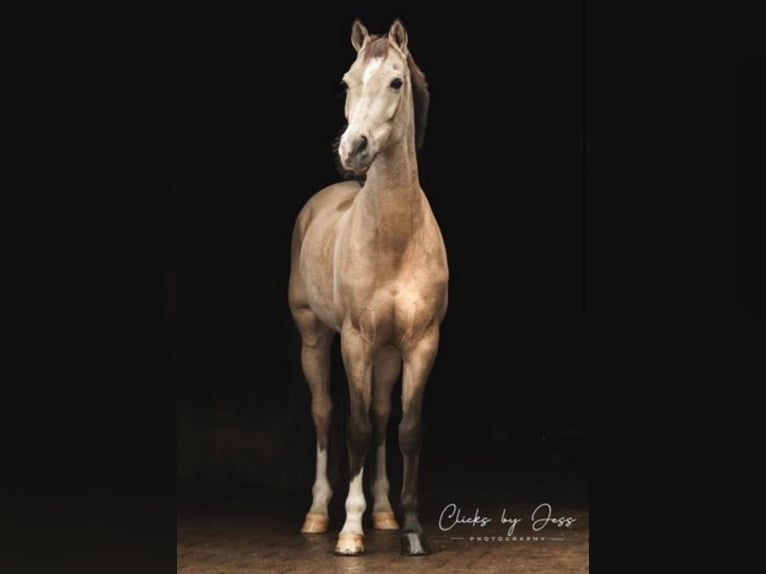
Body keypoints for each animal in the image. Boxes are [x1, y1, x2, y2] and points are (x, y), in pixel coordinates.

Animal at [288, 18, 448, 557]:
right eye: (346, 81)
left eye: (396, 81)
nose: (351, 150)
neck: (394, 239)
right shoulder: (355, 342)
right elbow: (353, 428)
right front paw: (350, 530)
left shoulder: (420, 343)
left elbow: (407, 428)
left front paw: (410, 528)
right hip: (315, 337)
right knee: (324, 414)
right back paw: (319, 513)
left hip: (387, 353)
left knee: (380, 416)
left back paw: (382, 511)